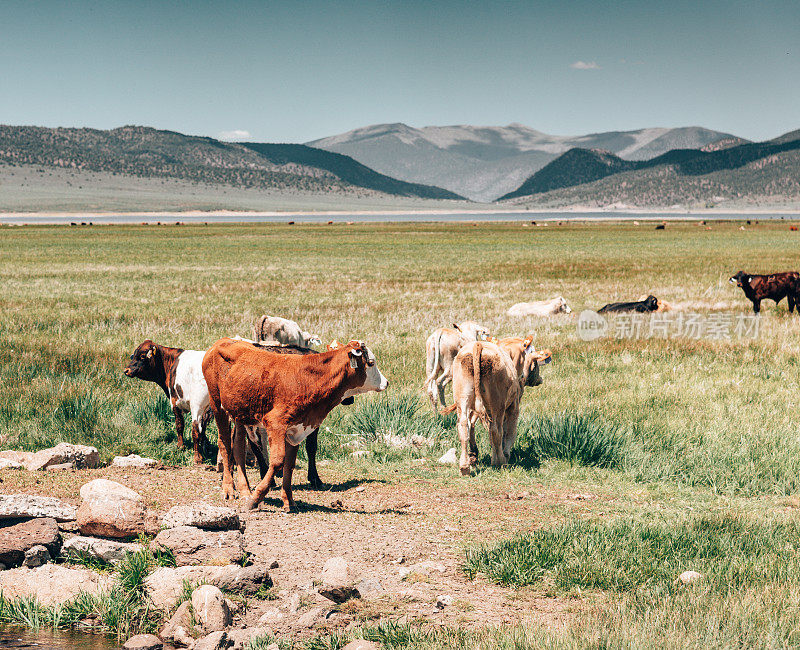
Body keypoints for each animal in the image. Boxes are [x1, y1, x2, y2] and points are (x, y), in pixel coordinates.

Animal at [123, 336, 211, 464]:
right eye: (133, 355)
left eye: (143, 356)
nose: (126, 370)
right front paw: (206, 448)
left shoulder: (175, 401)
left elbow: (180, 424)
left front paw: (181, 446)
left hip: (197, 405)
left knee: (195, 429)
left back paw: (197, 458)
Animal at [202, 336, 386, 508]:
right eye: (371, 362)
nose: (386, 382)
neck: (308, 378)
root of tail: (223, 341)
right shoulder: (275, 423)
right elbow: (278, 461)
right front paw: (257, 498)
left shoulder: (296, 429)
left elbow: (289, 464)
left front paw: (288, 500)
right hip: (217, 404)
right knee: (225, 444)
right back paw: (229, 489)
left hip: (241, 413)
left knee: (238, 447)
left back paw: (245, 490)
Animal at [444, 336, 552, 474]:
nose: (539, 379)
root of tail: (478, 345)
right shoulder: (513, 407)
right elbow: (509, 432)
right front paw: (504, 455)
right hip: (498, 404)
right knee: (496, 430)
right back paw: (500, 462)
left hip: (463, 399)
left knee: (464, 426)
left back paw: (465, 466)